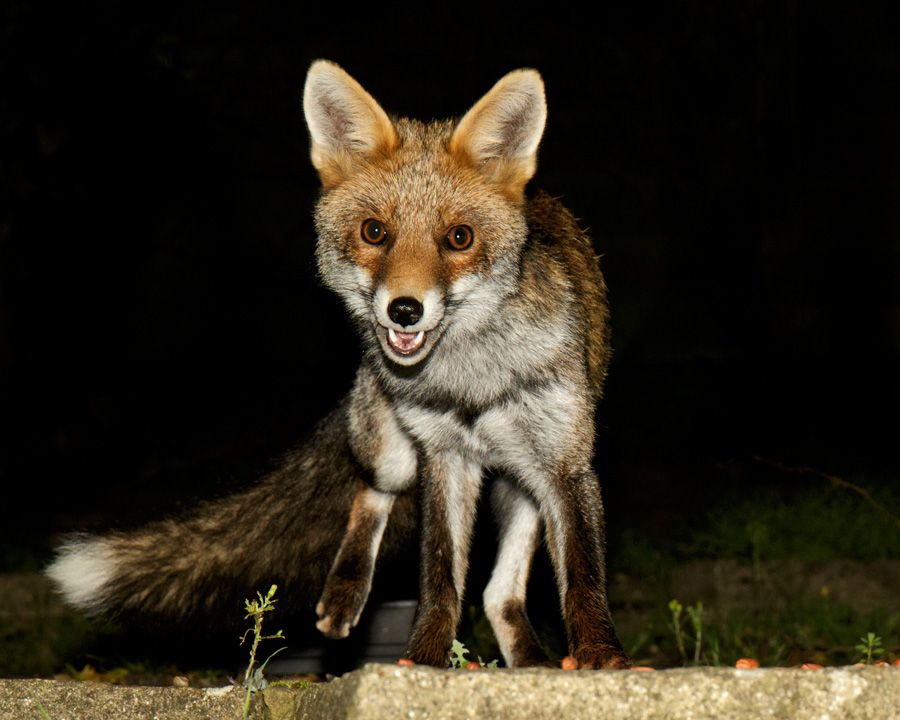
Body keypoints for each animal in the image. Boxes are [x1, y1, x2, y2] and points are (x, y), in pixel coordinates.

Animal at [46, 60, 631, 670]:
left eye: (459, 238)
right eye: (375, 232)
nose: (404, 309)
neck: (471, 381)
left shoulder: (564, 465)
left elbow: (583, 579)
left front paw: (599, 659)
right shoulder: (443, 459)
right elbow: (439, 579)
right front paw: (423, 662)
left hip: (522, 485)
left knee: (499, 595)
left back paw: (531, 660)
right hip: (396, 452)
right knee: (371, 493)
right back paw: (346, 593)